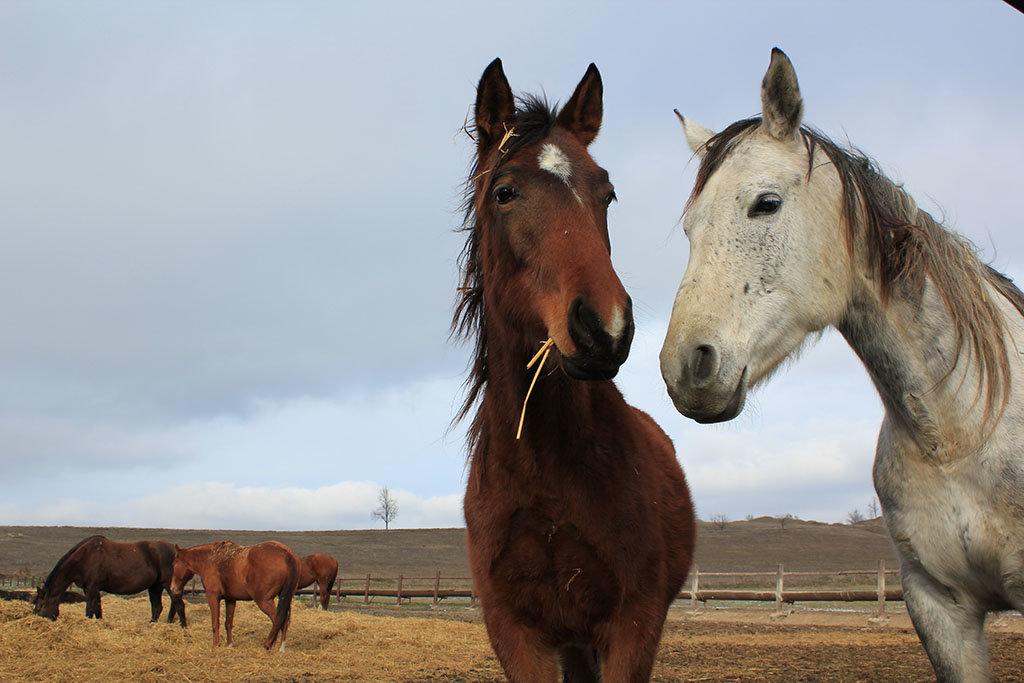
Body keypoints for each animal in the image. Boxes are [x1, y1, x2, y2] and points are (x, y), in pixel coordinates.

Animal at [30, 536, 184, 626]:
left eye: (38, 607)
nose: (34, 622)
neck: (86, 556)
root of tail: (177, 552)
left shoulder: (91, 587)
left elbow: (89, 609)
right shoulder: (93, 588)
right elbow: (98, 608)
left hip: (167, 584)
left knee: (178, 605)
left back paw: (182, 627)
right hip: (155, 586)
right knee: (158, 607)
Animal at [169, 540, 299, 651]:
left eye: (174, 564)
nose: (172, 588)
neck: (210, 559)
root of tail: (286, 554)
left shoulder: (212, 596)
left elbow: (215, 623)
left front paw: (215, 645)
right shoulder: (230, 599)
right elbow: (228, 623)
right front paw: (229, 644)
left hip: (264, 601)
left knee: (278, 619)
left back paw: (268, 644)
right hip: (284, 598)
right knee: (285, 620)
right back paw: (281, 647)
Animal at [454, 60, 696, 683]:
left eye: (606, 193)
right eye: (505, 192)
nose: (604, 326)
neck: (545, 465)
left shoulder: (633, 626)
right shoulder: (517, 633)